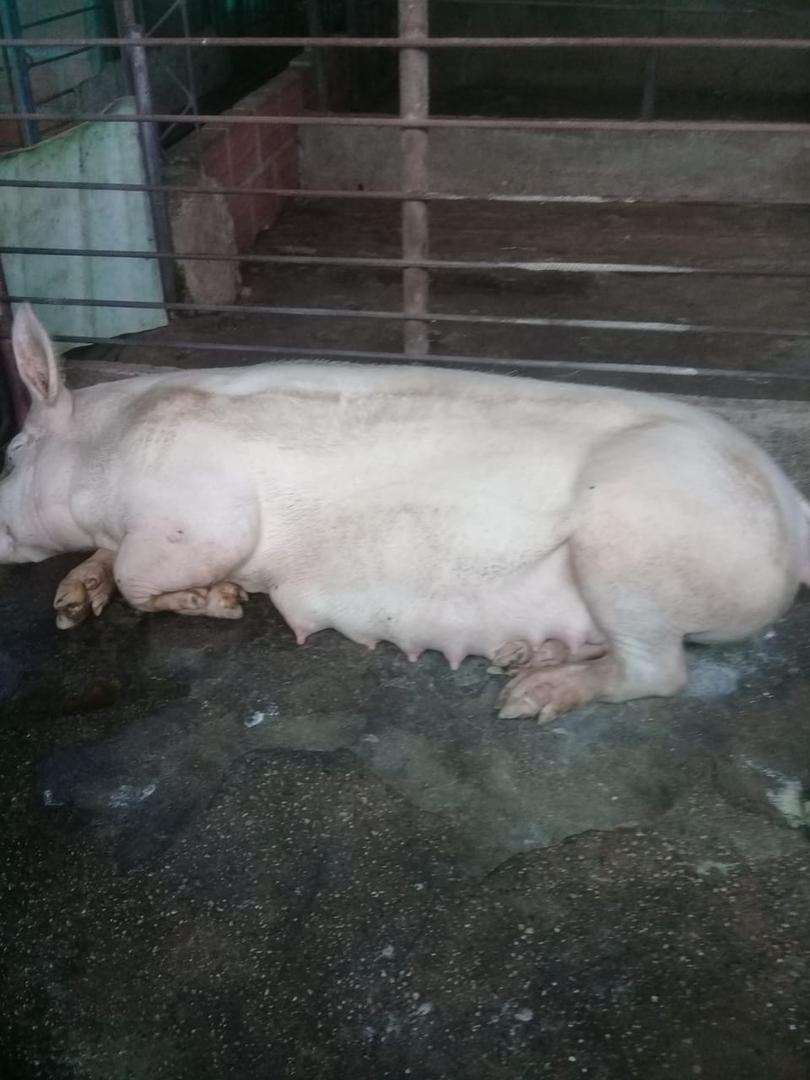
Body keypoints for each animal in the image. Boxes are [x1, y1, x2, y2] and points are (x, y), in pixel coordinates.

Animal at [1, 302, 809, 721]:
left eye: (9, 456)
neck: (107, 450)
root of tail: (790, 505)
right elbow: (111, 564)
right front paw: (71, 606)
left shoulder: (197, 515)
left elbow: (147, 575)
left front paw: (226, 600)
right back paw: (521, 659)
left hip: (631, 546)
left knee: (661, 671)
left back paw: (526, 698)